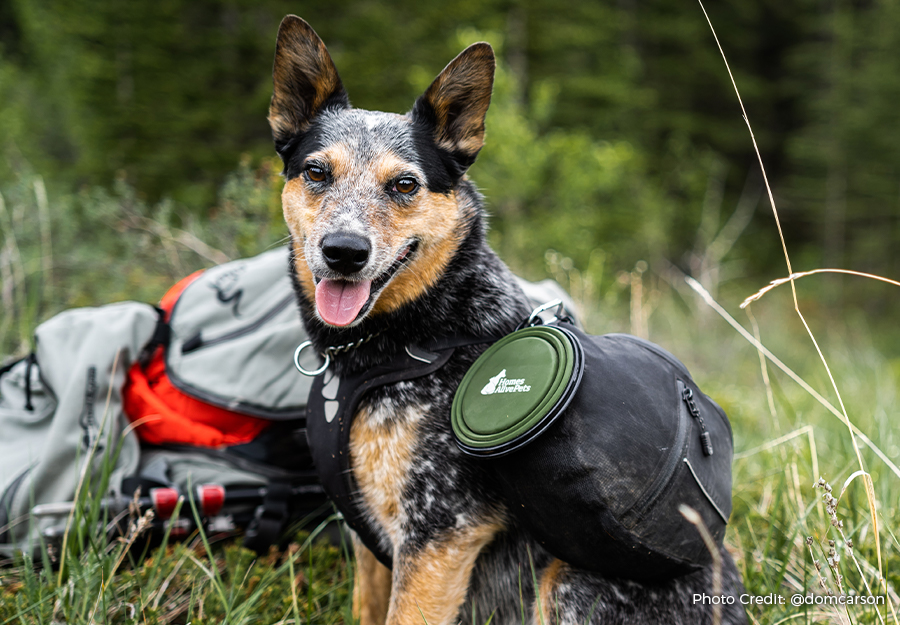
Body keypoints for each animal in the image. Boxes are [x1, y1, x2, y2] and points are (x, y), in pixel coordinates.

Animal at [266, 14, 744, 624]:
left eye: (404, 184)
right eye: (316, 172)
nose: (343, 251)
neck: (418, 335)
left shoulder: (439, 534)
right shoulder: (371, 539)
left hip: (567, 583)